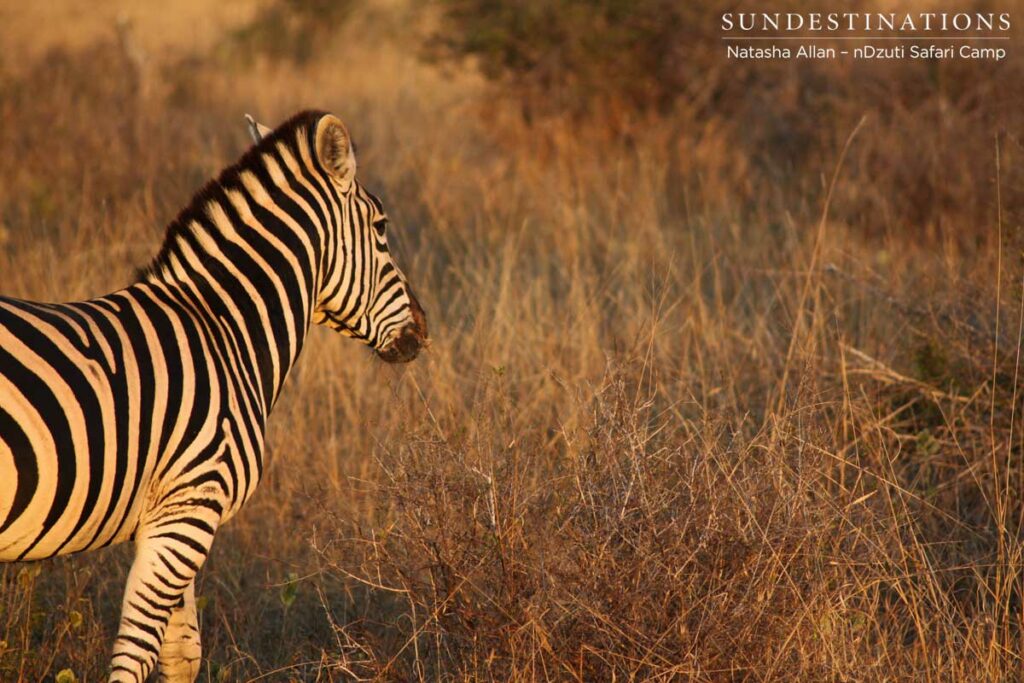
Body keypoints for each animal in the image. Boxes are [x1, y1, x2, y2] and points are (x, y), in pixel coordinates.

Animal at [0, 110, 428, 682]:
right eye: (381, 228)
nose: (422, 331)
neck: (224, 332)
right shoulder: (191, 506)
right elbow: (138, 656)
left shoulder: (165, 517)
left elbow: (180, 654)